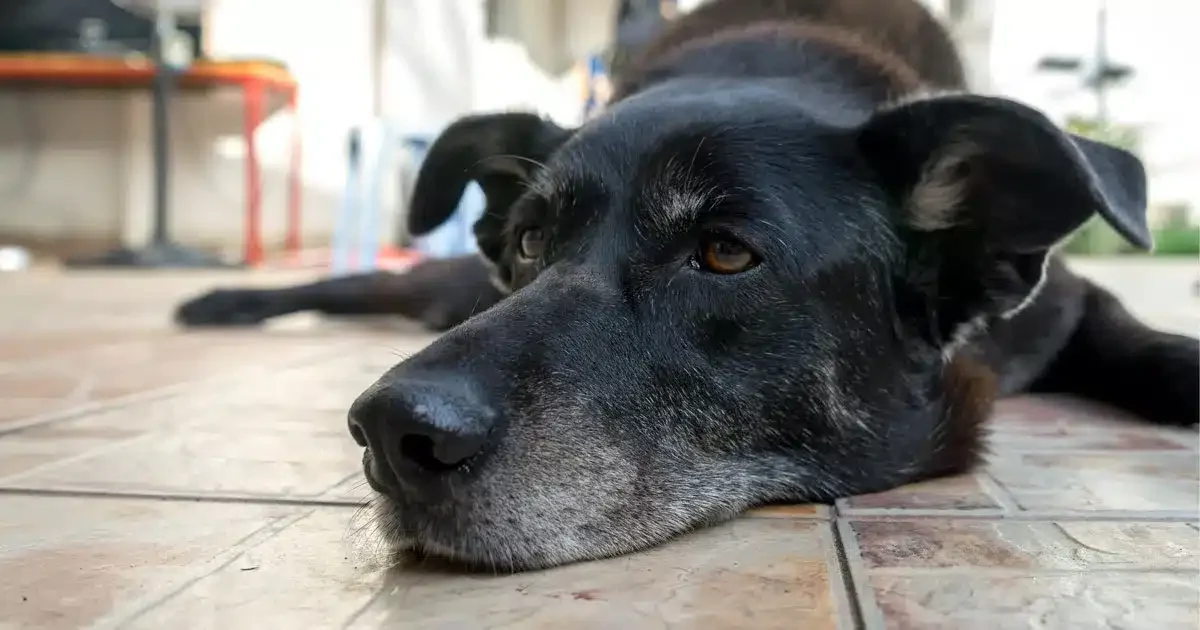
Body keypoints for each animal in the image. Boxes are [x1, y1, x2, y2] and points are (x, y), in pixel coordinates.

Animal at [175, 0, 1200, 568]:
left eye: (725, 254)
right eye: (530, 240)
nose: (391, 434)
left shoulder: (1068, 307)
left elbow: (1142, 342)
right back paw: (224, 301)